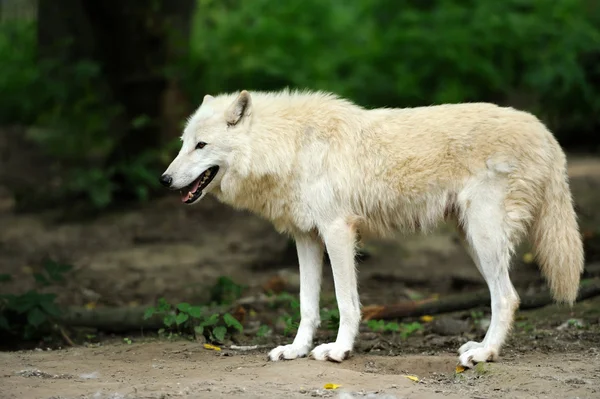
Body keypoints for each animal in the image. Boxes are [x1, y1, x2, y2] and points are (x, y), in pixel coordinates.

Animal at [159, 89, 580, 368]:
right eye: (182, 144)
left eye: (201, 145)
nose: (164, 179)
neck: (289, 146)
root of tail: (546, 133)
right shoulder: (306, 238)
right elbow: (307, 304)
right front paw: (296, 349)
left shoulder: (338, 232)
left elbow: (346, 302)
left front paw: (338, 350)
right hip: (472, 241)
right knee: (503, 296)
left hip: (484, 237)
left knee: (507, 297)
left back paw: (484, 353)